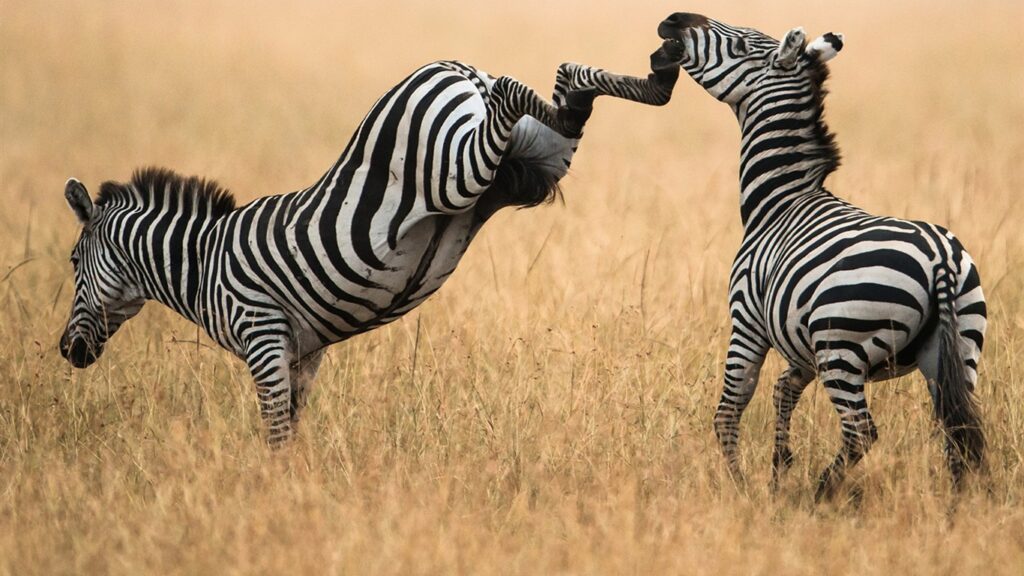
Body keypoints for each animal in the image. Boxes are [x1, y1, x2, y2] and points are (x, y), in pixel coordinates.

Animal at [58, 50, 682, 446]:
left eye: (71, 263)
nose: (67, 351)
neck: (200, 263)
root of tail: (456, 68)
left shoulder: (262, 337)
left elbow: (274, 433)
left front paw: (273, 496)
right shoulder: (302, 353)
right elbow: (292, 431)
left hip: (454, 169)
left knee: (513, 87)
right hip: (537, 160)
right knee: (569, 86)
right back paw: (657, 77)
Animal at [657, 13, 986, 498]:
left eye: (739, 46)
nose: (673, 21)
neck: (780, 201)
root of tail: (939, 257)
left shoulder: (748, 320)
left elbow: (731, 409)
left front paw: (742, 487)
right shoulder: (800, 344)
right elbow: (783, 392)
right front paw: (778, 470)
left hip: (842, 346)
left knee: (861, 431)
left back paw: (821, 493)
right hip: (958, 347)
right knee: (959, 429)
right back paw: (956, 505)